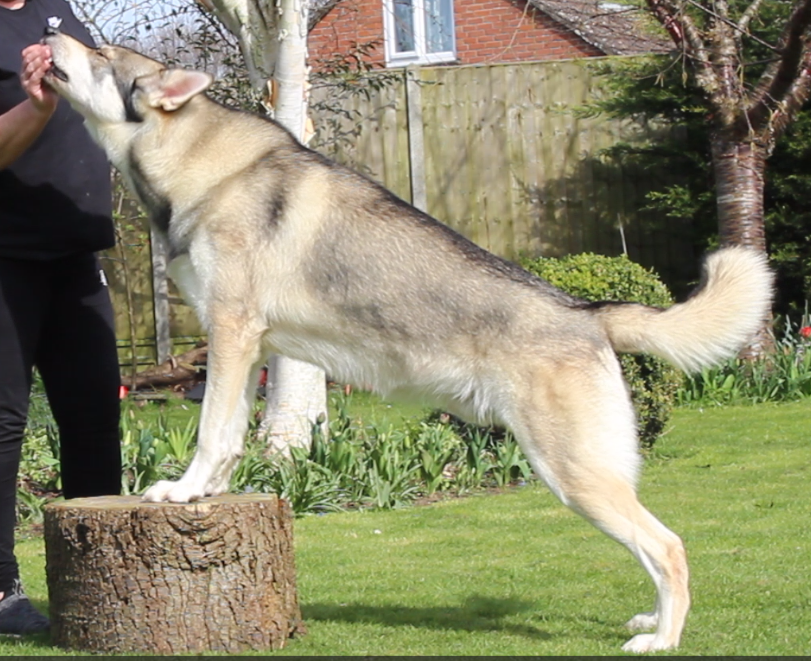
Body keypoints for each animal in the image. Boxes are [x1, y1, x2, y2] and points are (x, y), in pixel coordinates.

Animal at [42, 29, 772, 648]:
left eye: (101, 52)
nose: (50, 30)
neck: (201, 166)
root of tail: (586, 311)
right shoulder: (254, 349)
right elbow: (230, 438)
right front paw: (210, 490)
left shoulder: (231, 331)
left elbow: (210, 433)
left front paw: (184, 490)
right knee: (655, 544)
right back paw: (651, 618)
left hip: (574, 476)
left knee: (669, 546)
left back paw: (662, 637)